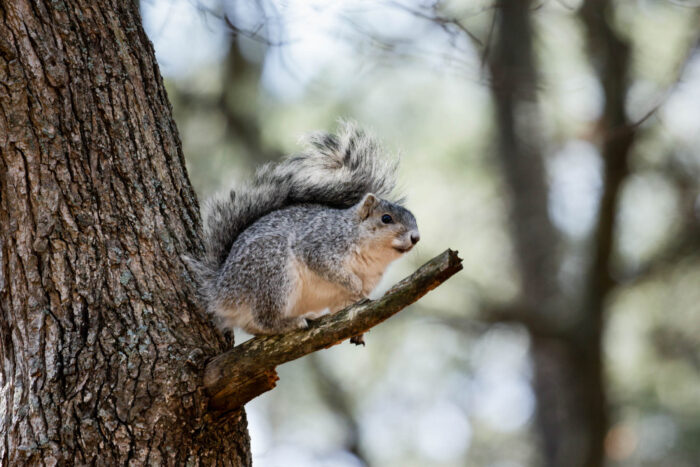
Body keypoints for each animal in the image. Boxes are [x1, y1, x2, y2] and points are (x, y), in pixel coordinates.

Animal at [185, 121, 419, 344]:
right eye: (386, 218)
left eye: (415, 220)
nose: (415, 237)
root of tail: (220, 289)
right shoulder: (320, 245)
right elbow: (327, 267)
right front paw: (353, 283)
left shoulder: (348, 294)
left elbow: (347, 310)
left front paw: (359, 330)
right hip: (272, 272)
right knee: (264, 319)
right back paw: (289, 322)